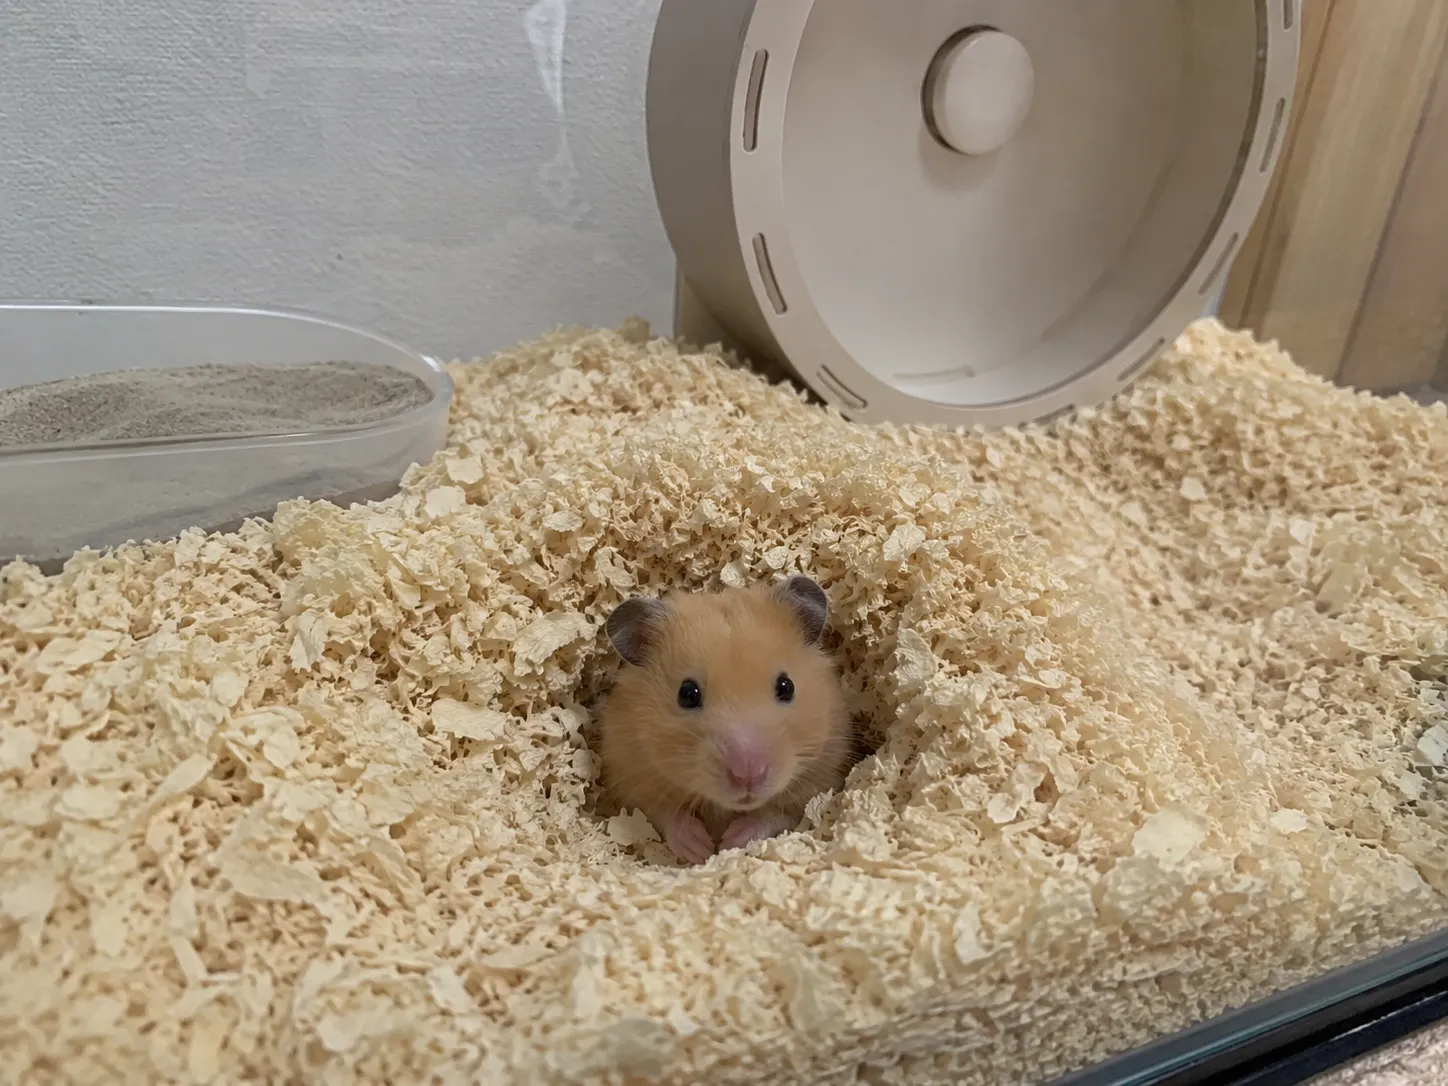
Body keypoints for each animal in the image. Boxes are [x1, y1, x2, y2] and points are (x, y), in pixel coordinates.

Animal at [598, 574, 853, 865]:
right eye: (687, 694)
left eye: (786, 686)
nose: (748, 776)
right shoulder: (629, 776)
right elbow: (664, 812)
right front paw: (699, 848)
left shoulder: (821, 777)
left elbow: (777, 813)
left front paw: (733, 840)